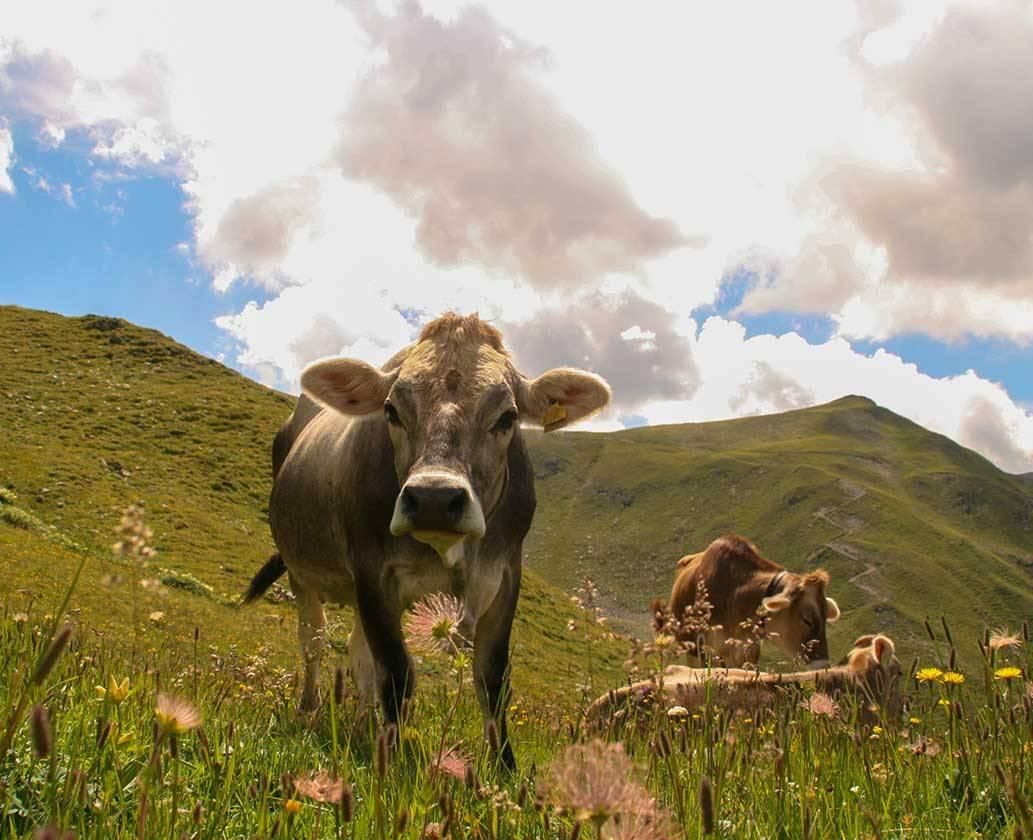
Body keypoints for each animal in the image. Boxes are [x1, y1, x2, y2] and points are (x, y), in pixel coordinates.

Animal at [242, 309, 611, 768]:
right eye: (391, 410)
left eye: (507, 416)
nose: (434, 499)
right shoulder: (373, 573)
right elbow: (396, 673)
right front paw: (394, 762)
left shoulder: (505, 574)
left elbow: (492, 678)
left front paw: (504, 766)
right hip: (300, 570)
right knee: (314, 643)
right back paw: (309, 712)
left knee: (358, 655)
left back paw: (361, 727)